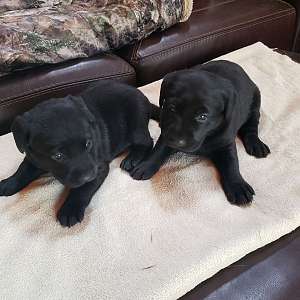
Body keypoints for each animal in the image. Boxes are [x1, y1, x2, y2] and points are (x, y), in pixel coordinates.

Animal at [0, 81, 159, 226]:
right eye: (58, 156)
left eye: (88, 144)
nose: (88, 176)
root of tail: (142, 95)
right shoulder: (33, 156)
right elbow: (22, 170)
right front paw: (8, 183)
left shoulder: (98, 166)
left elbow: (82, 189)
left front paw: (70, 210)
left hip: (136, 122)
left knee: (147, 141)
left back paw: (132, 159)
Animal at [128, 60, 270, 206]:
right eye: (172, 108)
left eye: (203, 117)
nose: (178, 142)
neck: (206, 136)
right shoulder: (167, 132)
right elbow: (159, 149)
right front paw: (145, 165)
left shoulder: (226, 141)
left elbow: (231, 163)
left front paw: (237, 185)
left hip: (255, 102)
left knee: (251, 127)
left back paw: (256, 144)